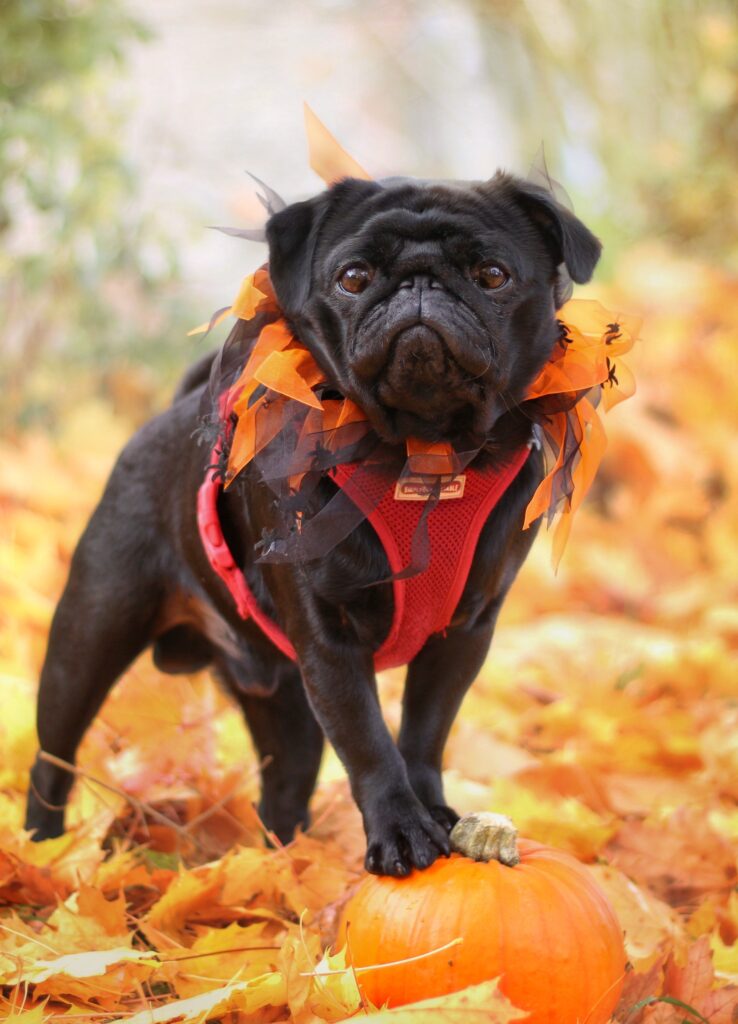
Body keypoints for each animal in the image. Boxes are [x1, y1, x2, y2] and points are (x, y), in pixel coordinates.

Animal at [25, 172, 597, 876]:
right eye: (353, 277)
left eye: (492, 275)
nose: (420, 284)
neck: (422, 454)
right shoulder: (329, 642)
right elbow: (369, 740)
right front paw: (402, 830)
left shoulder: (463, 633)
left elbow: (423, 732)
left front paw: (434, 813)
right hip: (88, 637)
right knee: (53, 758)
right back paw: (43, 853)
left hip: (286, 702)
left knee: (283, 796)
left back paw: (287, 872)